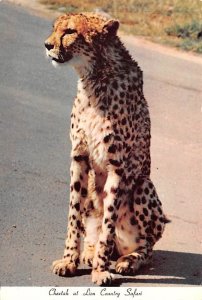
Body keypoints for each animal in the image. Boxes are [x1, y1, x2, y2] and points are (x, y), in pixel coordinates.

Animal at [45, 12, 170, 286]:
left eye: (70, 31)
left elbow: (108, 221)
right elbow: (74, 215)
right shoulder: (79, 157)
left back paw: (128, 260)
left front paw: (101, 270)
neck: (94, 78)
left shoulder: (117, 166)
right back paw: (89, 252)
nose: (47, 45)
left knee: (147, 246)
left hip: (143, 184)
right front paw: (70, 260)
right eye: (54, 28)